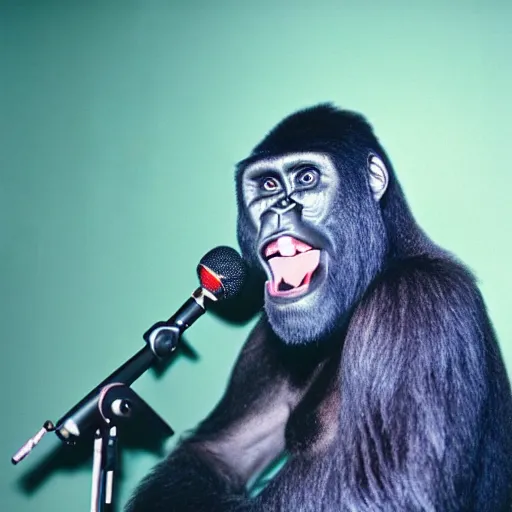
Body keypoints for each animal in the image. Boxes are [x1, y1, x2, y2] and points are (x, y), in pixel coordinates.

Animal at [127, 105, 512, 512]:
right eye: (268, 184)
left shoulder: (416, 302)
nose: (279, 207)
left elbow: (393, 493)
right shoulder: (265, 341)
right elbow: (214, 452)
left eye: (306, 177)